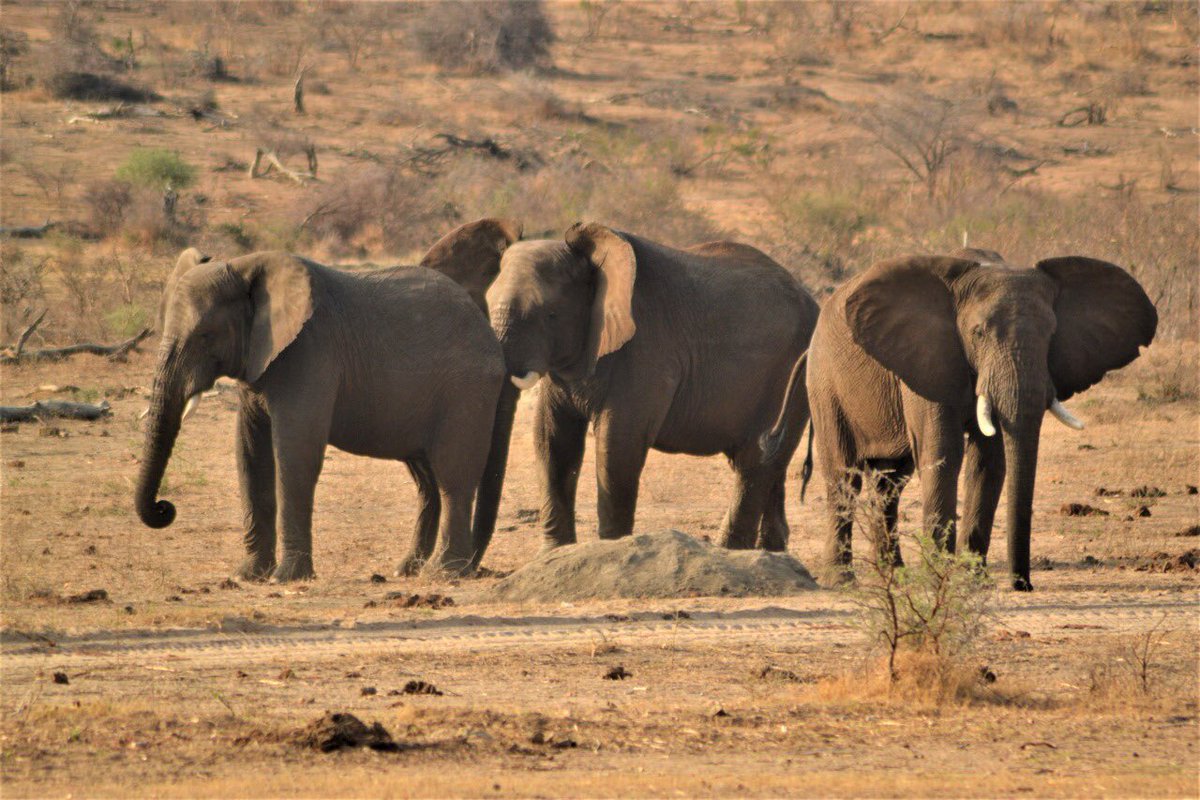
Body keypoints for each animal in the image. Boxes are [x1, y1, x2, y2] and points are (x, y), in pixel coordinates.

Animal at [134, 218, 519, 581]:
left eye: (205, 335)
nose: (165, 508)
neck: (244, 267)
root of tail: (487, 329)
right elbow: (249, 454)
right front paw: (247, 576)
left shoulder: (310, 352)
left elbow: (295, 455)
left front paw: (286, 578)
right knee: (427, 482)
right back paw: (407, 569)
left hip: (466, 388)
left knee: (453, 477)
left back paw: (443, 573)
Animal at [430, 221, 821, 561]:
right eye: (486, 302)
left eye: (550, 314)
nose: (470, 567)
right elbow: (553, 441)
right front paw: (554, 555)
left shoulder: (647, 346)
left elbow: (618, 442)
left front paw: (612, 551)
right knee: (767, 460)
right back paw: (772, 552)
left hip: (791, 367)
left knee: (755, 461)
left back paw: (730, 552)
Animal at [761, 248, 1157, 591]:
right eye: (978, 333)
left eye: (1051, 335)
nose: (1023, 585)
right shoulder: (929, 355)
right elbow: (944, 453)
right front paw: (939, 578)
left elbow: (990, 462)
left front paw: (972, 580)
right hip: (825, 382)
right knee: (844, 475)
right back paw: (842, 581)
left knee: (890, 483)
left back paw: (894, 576)